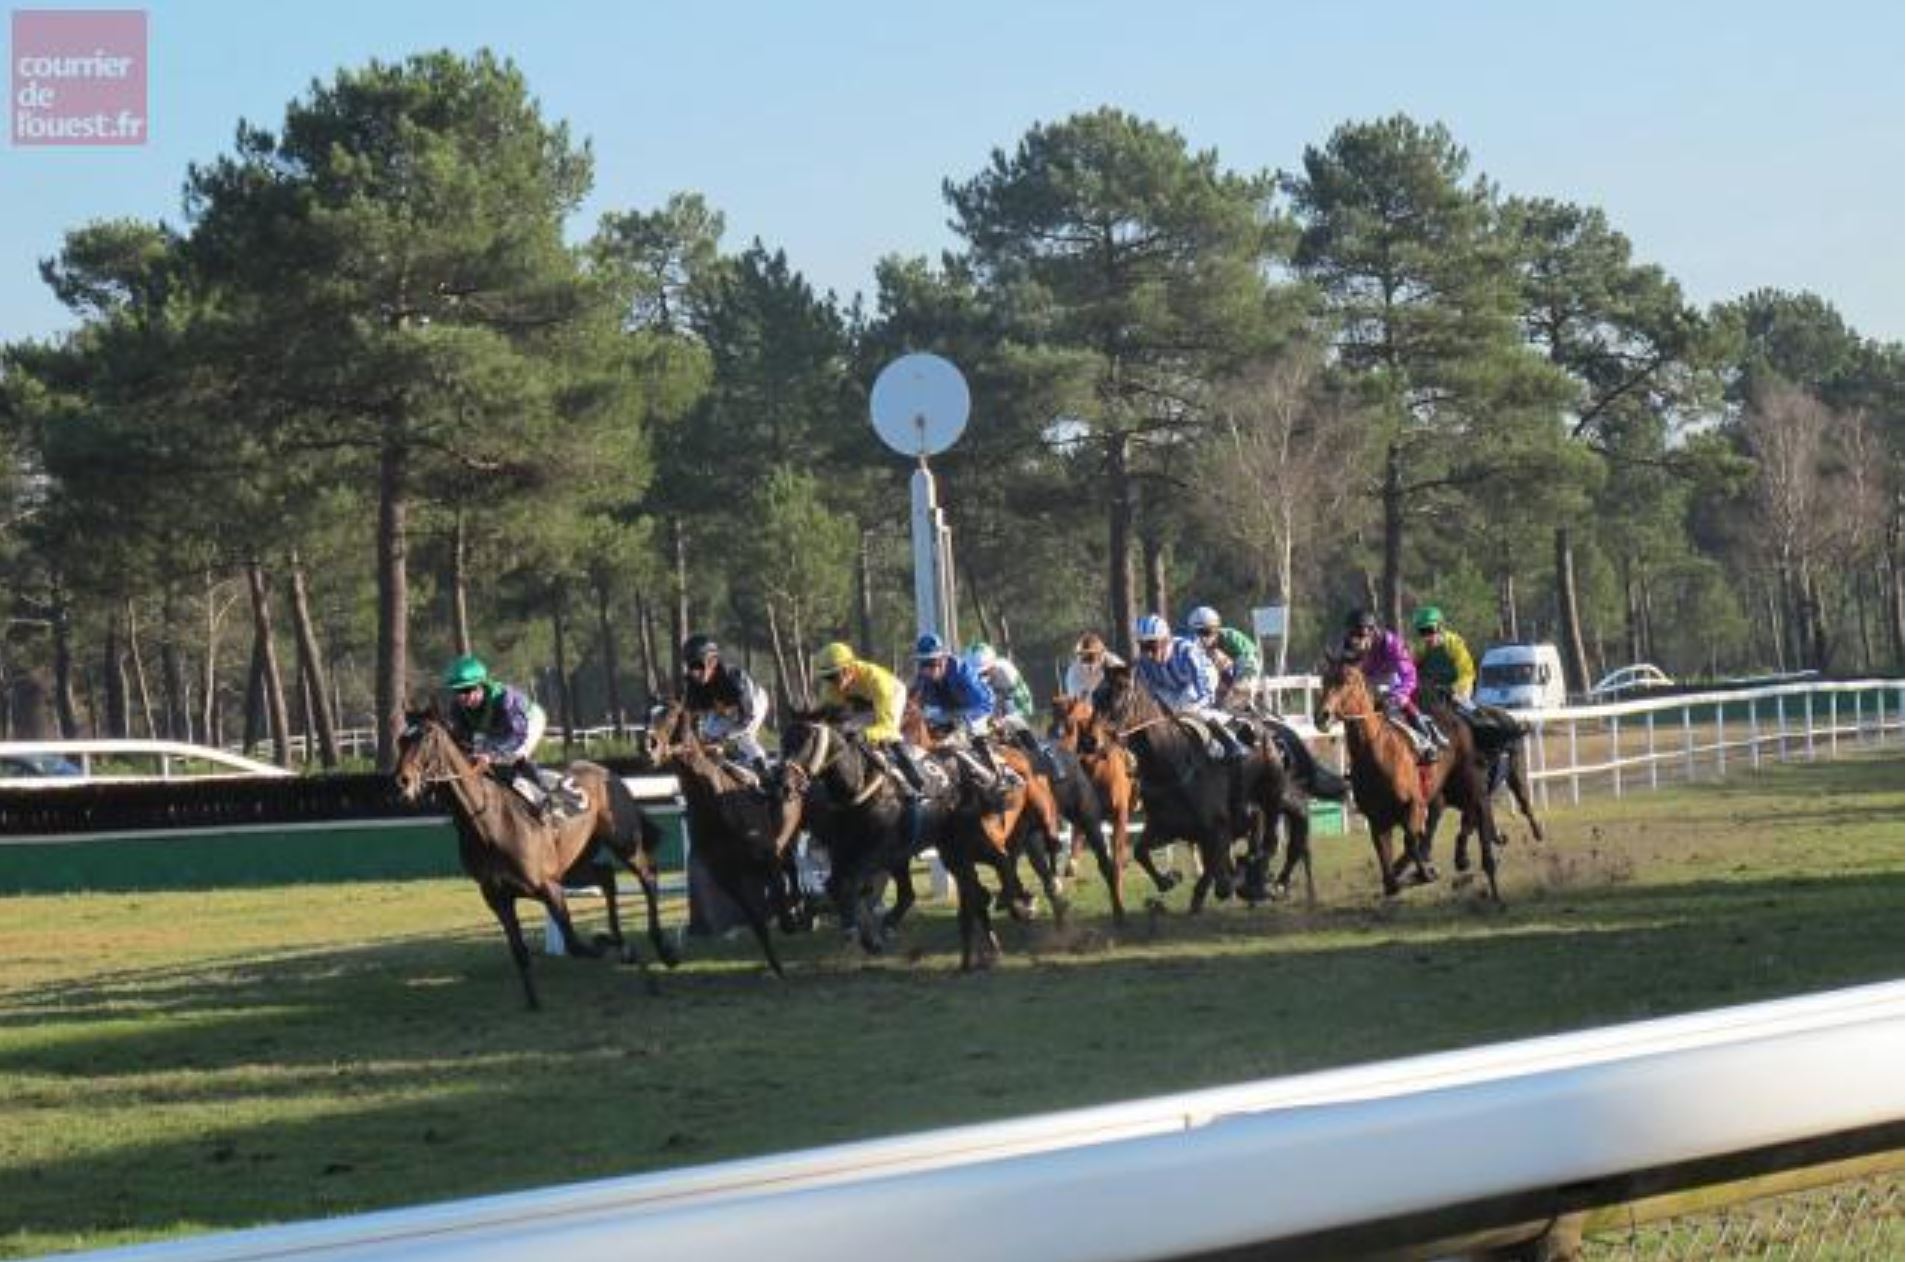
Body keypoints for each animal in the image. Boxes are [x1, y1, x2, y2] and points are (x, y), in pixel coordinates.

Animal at [390, 705, 682, 1014]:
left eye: (427, 738)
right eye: (401, 740)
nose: (403, 781)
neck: (488, 822)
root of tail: (606, 772)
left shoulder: (548, 886)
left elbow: (575, 943)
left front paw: (611, 945)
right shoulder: (498, 896)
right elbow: (519, 951)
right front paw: (533, 1001)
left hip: (622, 842)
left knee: (647, 875)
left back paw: (663, 949)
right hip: (572, 864)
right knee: (606, 875)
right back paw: (622, 939)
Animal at [648, 705, 811, 983]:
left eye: (670, 716)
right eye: (647, 716)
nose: (649, 746)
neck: (715, 804)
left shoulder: (767, 857)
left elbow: (781, 906)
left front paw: (794, 916)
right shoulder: (726, 875)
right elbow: (756, 920)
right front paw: (776, 965)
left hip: (791, 834)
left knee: (791, 867)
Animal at [1090, 663, 1311, 918]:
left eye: (1119, 692)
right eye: (1095, 695)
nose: (1090, 741)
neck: (1172, 762)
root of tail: (1268, 729)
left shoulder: (1219, 828)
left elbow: (1222, 879)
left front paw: (1242, 881)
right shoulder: (1165, 826)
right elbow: (1140, 851)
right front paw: (1169, 879)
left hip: (1273, 792)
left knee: (1275, 836)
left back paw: (1270, 882)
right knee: (1289, 819)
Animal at [1311, 655, 1501, 903]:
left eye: (1347, 681)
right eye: (1324, 680)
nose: (1322, 716)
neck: (1375, 753)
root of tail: (1457, 716)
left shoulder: (1414, 804)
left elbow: (1411, 841)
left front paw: (1426, 872)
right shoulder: (1377, 819)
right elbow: (1390, 876)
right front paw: (1409, 875)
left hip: (1467, 784)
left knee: (1480, 810)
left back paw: (1485, 867)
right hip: (1442, 792)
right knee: (1451, 814)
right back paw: (1461, 857)